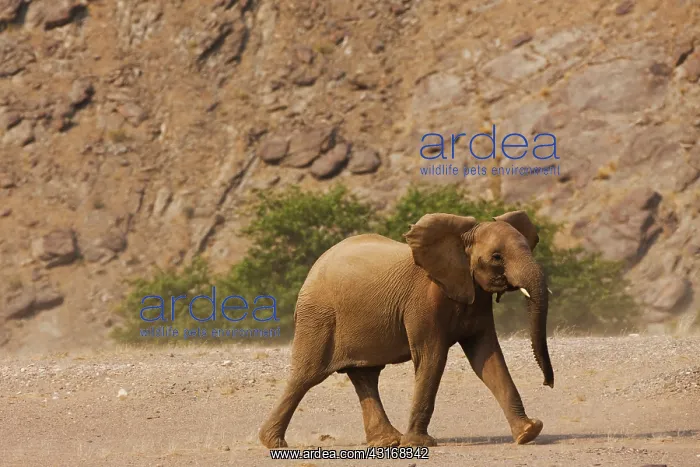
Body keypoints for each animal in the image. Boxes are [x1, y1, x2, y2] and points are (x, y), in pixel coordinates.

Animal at [258, 210, 554, 449]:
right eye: (496, 257)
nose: (547, 383)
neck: (460, 239)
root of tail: (312, 270)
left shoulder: (476, 296)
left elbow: (487, 358)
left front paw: (528, 433)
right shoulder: (422, 302)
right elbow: (432, 357)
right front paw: (419, 444)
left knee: (365, 375)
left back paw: (387, 441)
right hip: (319, 316)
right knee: (306, 376)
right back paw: (273, 444)